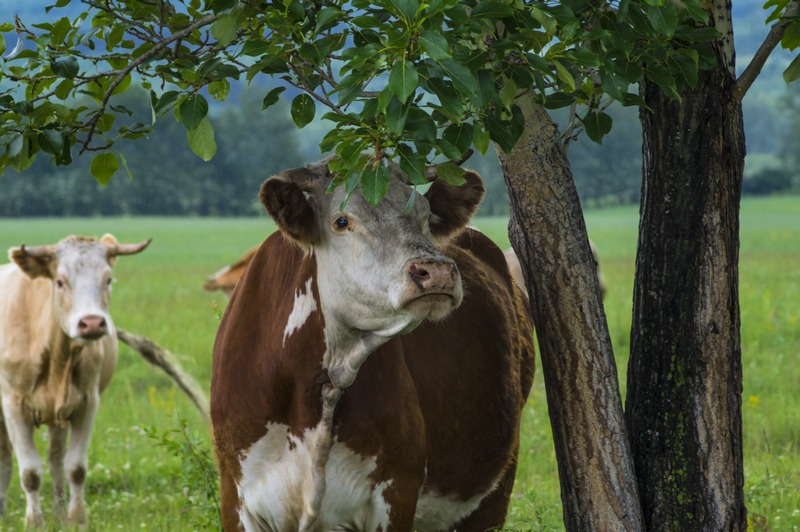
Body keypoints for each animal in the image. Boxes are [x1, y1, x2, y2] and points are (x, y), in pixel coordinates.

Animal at [0, 234, 150, 528]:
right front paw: (34, 523)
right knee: (6, 459)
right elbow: (30, 473)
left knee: (56, 458)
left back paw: (58, 510)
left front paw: (76, 519)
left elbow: (76, 468)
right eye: (60, 281)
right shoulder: (13, 406)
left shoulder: (87, 403)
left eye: (108, 279)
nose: (91, 323)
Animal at [212, 156, 536, 528]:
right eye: (342, 221)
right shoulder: (236, 494)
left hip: (495, 488)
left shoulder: (397, 492)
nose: (436, 272)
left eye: (426, 216)